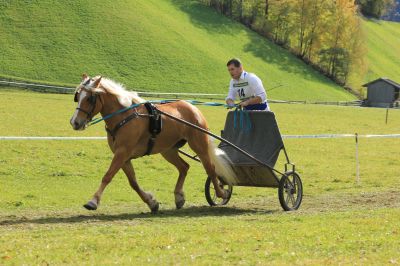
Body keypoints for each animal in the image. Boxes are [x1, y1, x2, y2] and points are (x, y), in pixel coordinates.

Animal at [70, 74, 236, 212]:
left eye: (89, 98)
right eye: (78, 96)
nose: (75, 122)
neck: (124, 116)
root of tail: (192, 107)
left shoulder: (122, 153)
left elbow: (107, 176)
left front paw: (93, 201)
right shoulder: (124, 157)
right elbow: (133, 183)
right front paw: (151, 202)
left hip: (199, 145)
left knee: (210, 169)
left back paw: (221, 192)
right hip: (168, 150)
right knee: (184, 167)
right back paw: (179, 196)